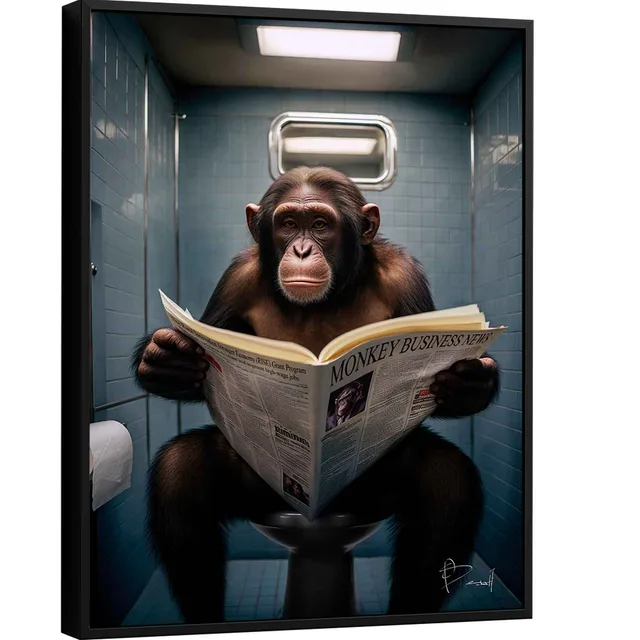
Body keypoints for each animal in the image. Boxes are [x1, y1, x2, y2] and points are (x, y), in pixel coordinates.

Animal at [132, 166, 499, 622]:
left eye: (321, 225)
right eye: (289, 223)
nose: (303, 249)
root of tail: (316, 511)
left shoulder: (405, 277)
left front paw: (468, 383)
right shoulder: (236, 279)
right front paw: (168, 360)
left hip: (365, 490)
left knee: (446, 481)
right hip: (266, 489)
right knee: (180, 474)